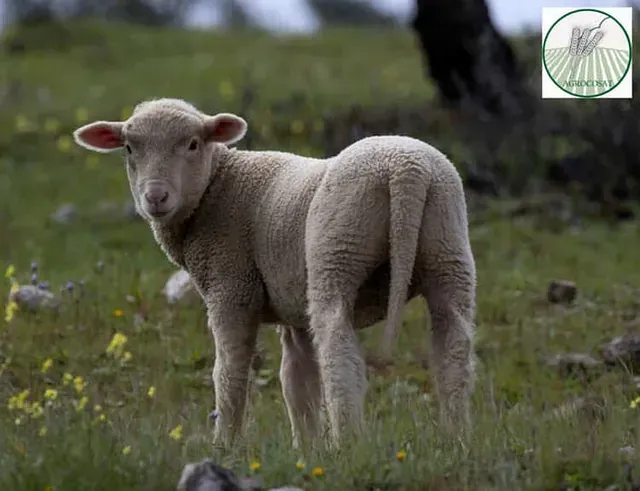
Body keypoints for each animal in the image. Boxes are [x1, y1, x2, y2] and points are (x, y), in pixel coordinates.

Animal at [72, 97, 476, 450]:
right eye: (128, 148)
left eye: (192, 144)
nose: (155, 198)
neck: (219, 186)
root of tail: (406, 170)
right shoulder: (292, 308)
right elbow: (296, 381)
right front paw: (307, 450)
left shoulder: (231, 286)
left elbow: (230, 371)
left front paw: (226, 445)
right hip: (448, 248)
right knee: (453, 344)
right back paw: (455, 437)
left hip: (337, 252)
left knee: (338, 347)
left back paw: (348, 442)